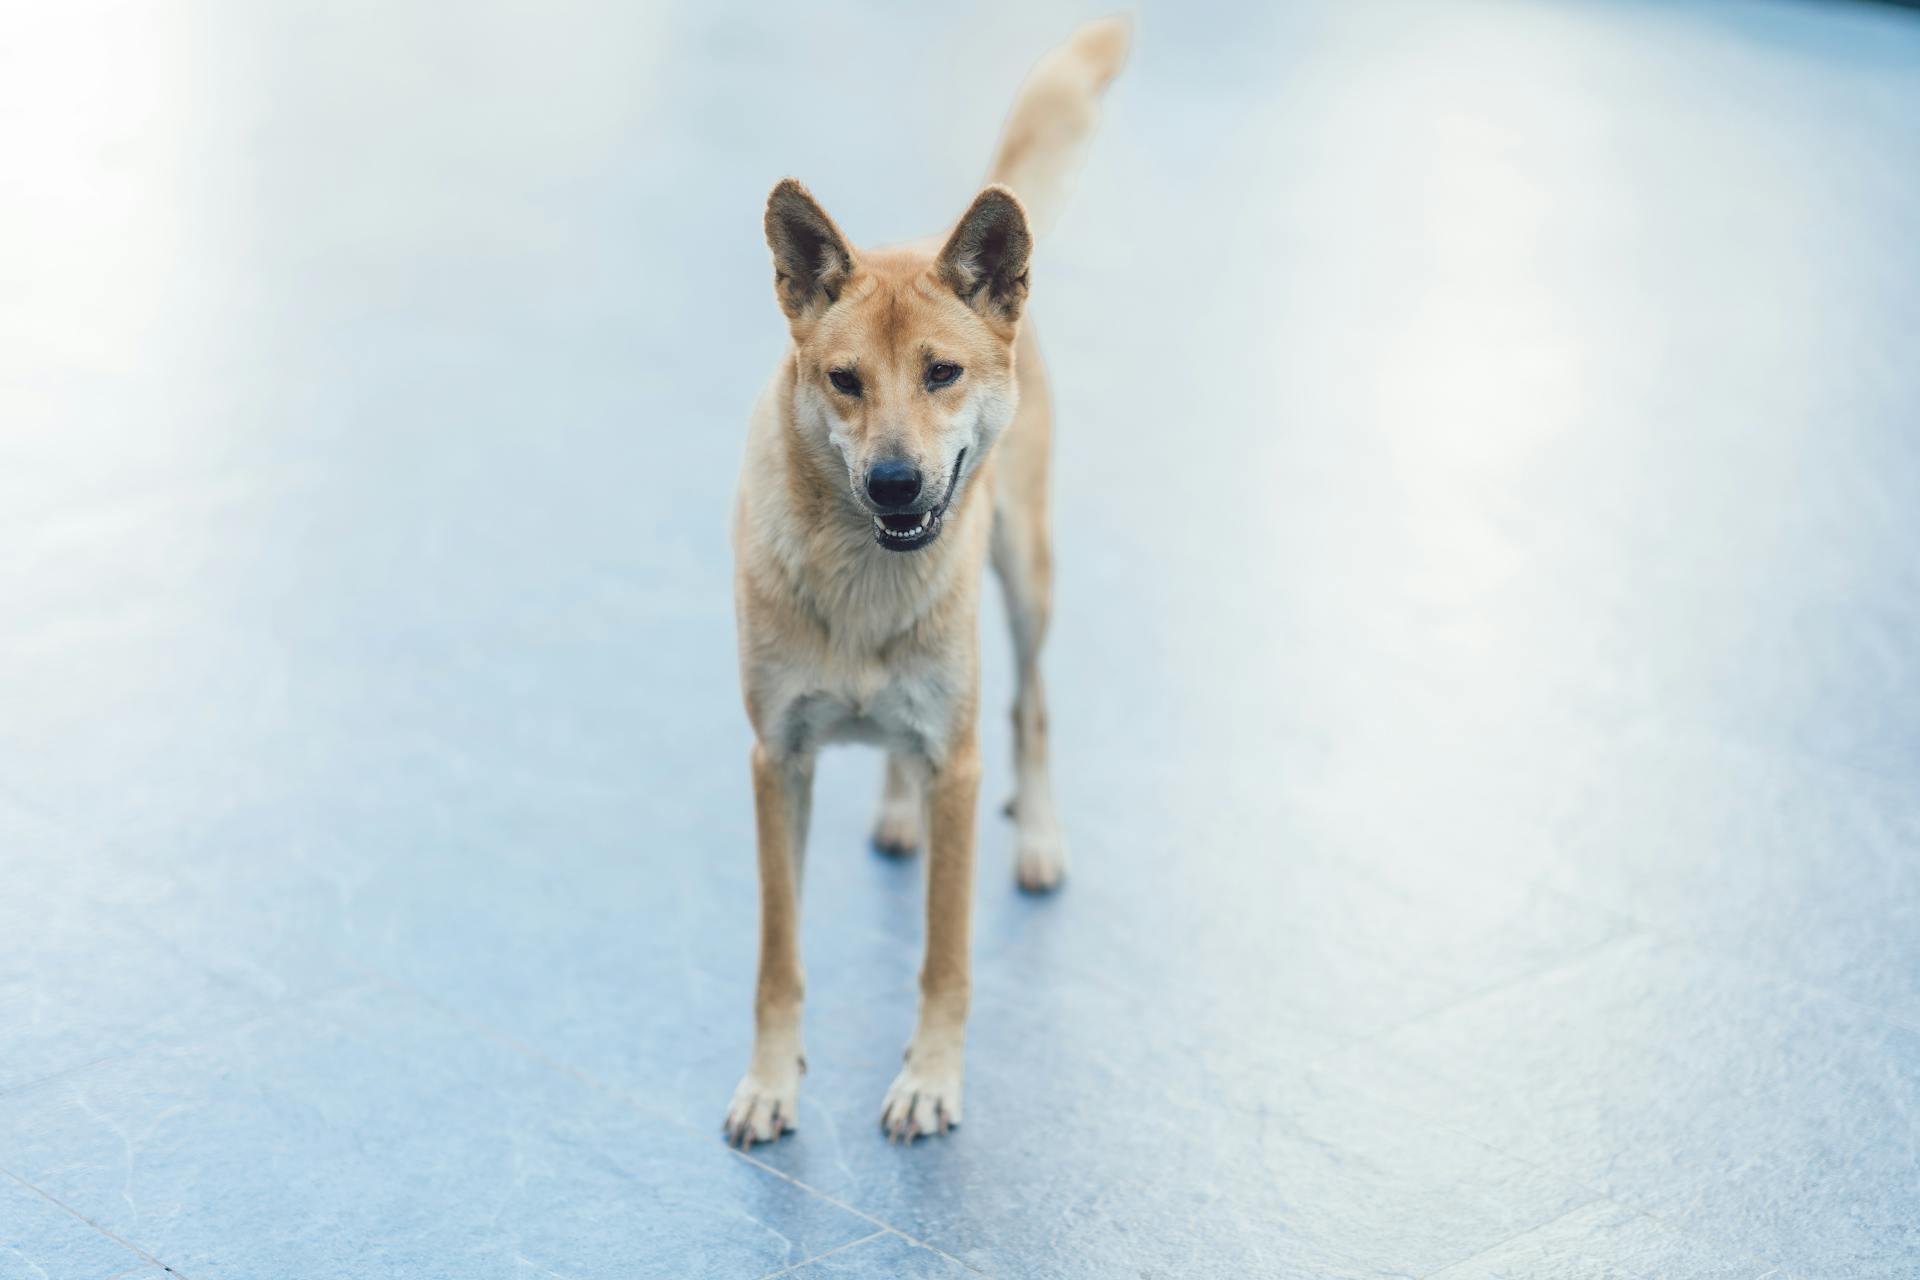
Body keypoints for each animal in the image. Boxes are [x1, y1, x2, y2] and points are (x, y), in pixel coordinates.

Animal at [725, 14, 1128, 1143]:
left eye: (941, 373)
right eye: (844, 381)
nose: (895, 481)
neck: (867, 580)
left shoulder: (958, 766)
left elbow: (943, 958)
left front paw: (930, 1080)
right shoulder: (777, 763)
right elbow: (778, 955)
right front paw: (770, 1082)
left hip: (1028, 580)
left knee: (1031, 708)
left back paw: (1038, 837)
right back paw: (896, 809)